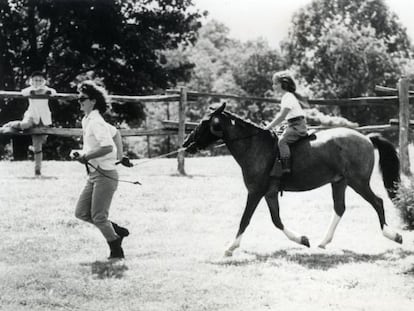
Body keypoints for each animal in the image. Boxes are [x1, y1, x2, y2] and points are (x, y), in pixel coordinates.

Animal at [184, 103, 402, 258]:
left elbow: (245, 220)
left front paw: (230, 247)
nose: (186, 144)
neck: (255, 146)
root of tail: (366, 138)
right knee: (340, 208)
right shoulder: (270, 193)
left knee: (377, 202)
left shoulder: (255, 192)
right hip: (339, 182)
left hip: (358, 182)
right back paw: (323, 242)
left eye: (204, 123)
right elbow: (277, 220)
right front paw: (303, 239)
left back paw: (393, 235)